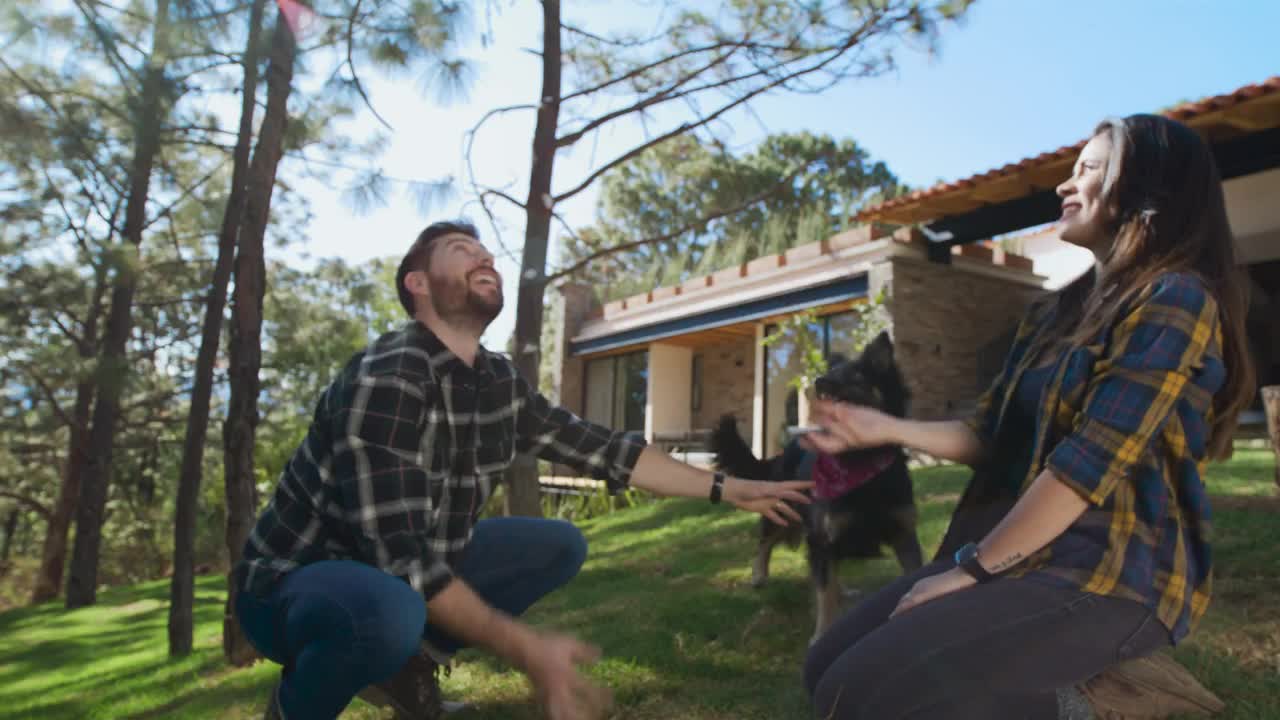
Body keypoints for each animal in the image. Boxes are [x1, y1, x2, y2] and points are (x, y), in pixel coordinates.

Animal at [711, 330, 921, 638]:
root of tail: (784, 451)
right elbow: (824, 594)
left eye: (856, 374)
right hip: (784, 511)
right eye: (831, 372)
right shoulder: (822, 538)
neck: (859, 458)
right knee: (765, 542)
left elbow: (912, 574)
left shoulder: (904, 534)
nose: (819, 381)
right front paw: (822, 635)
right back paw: (759, 574)